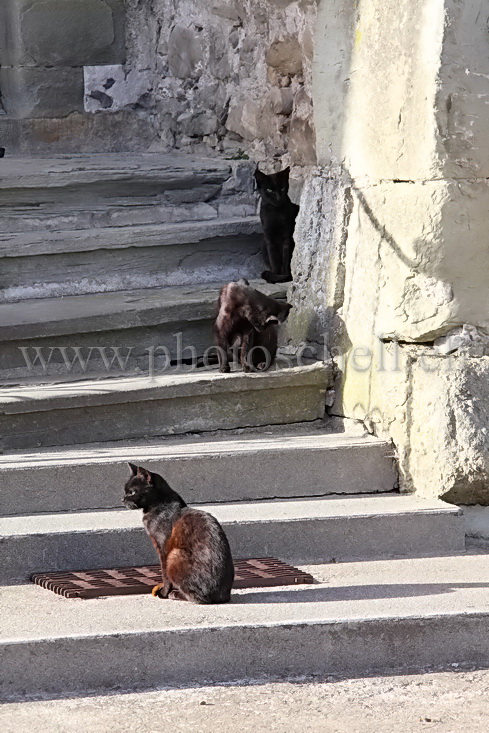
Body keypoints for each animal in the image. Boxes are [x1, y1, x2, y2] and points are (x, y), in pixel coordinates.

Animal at [124, 466, 234, 604]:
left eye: (132, 492)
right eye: (125, 491)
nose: (122, 499)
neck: (160, 504)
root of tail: (223, 596)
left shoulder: (163, 549)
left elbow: (164, 574)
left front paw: (164, 593)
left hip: (175, 554)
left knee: (198, 598)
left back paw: (175, 594)